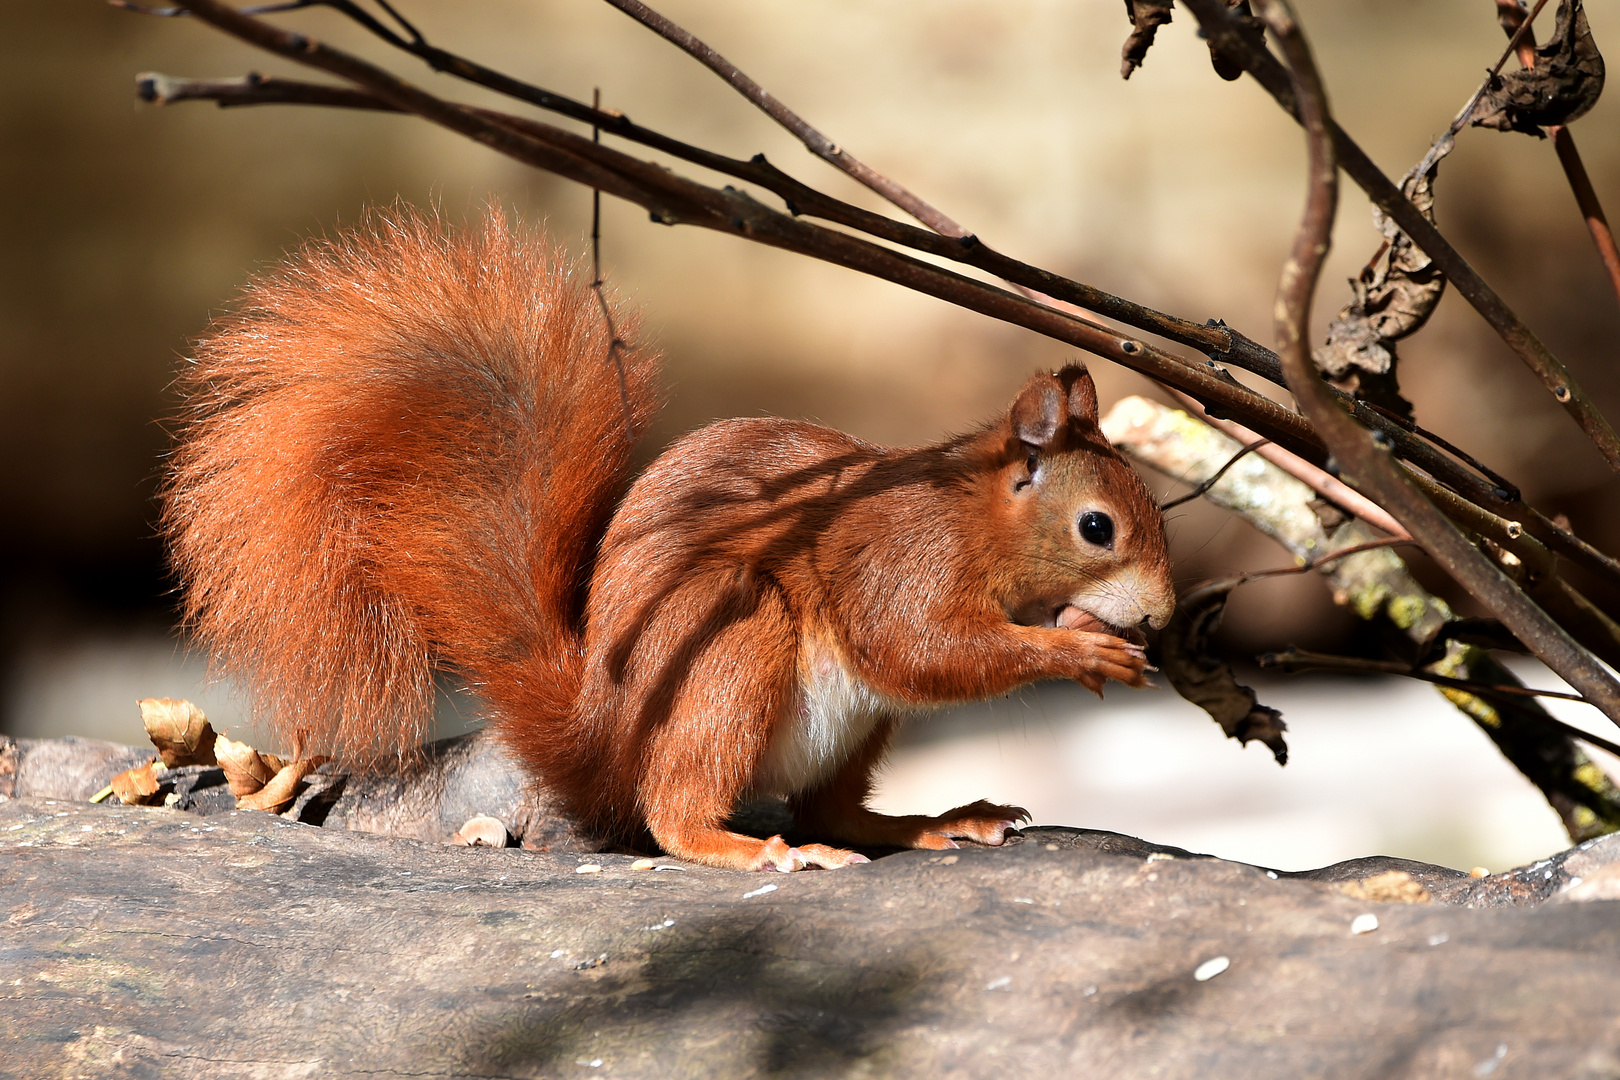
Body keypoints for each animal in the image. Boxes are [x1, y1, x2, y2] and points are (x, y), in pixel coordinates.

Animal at [164, 207, 1172, 874]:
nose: (1161, 615)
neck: (968, 517)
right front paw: (1080, 651)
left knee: (836, 810)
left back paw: (933, 822)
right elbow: (917, 648)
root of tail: (601, 735)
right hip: (731, 645)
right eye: (1097, 527)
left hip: (843, 724)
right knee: (675, 816)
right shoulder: (900, 565)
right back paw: (759, 851)